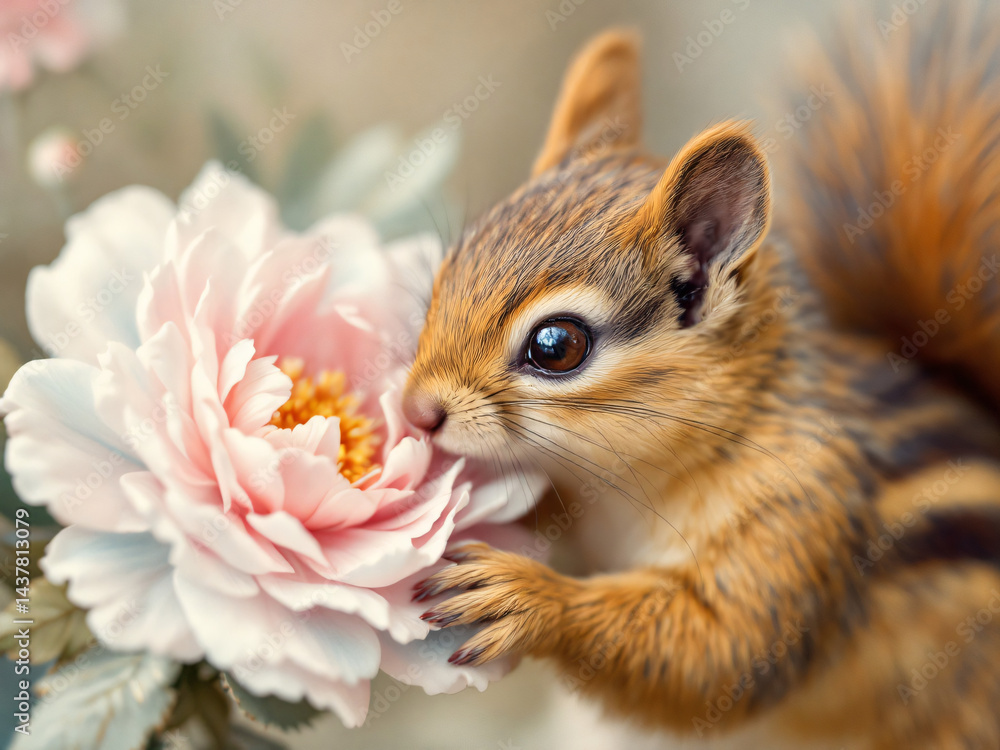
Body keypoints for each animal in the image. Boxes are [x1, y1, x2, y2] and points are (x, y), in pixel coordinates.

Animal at [403, 2, 1000, 747]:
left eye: (556, 346)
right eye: (446, 273)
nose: (416, 411)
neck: (627, 483)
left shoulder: (802, 519)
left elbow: (720, 653)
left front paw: (531, 597)